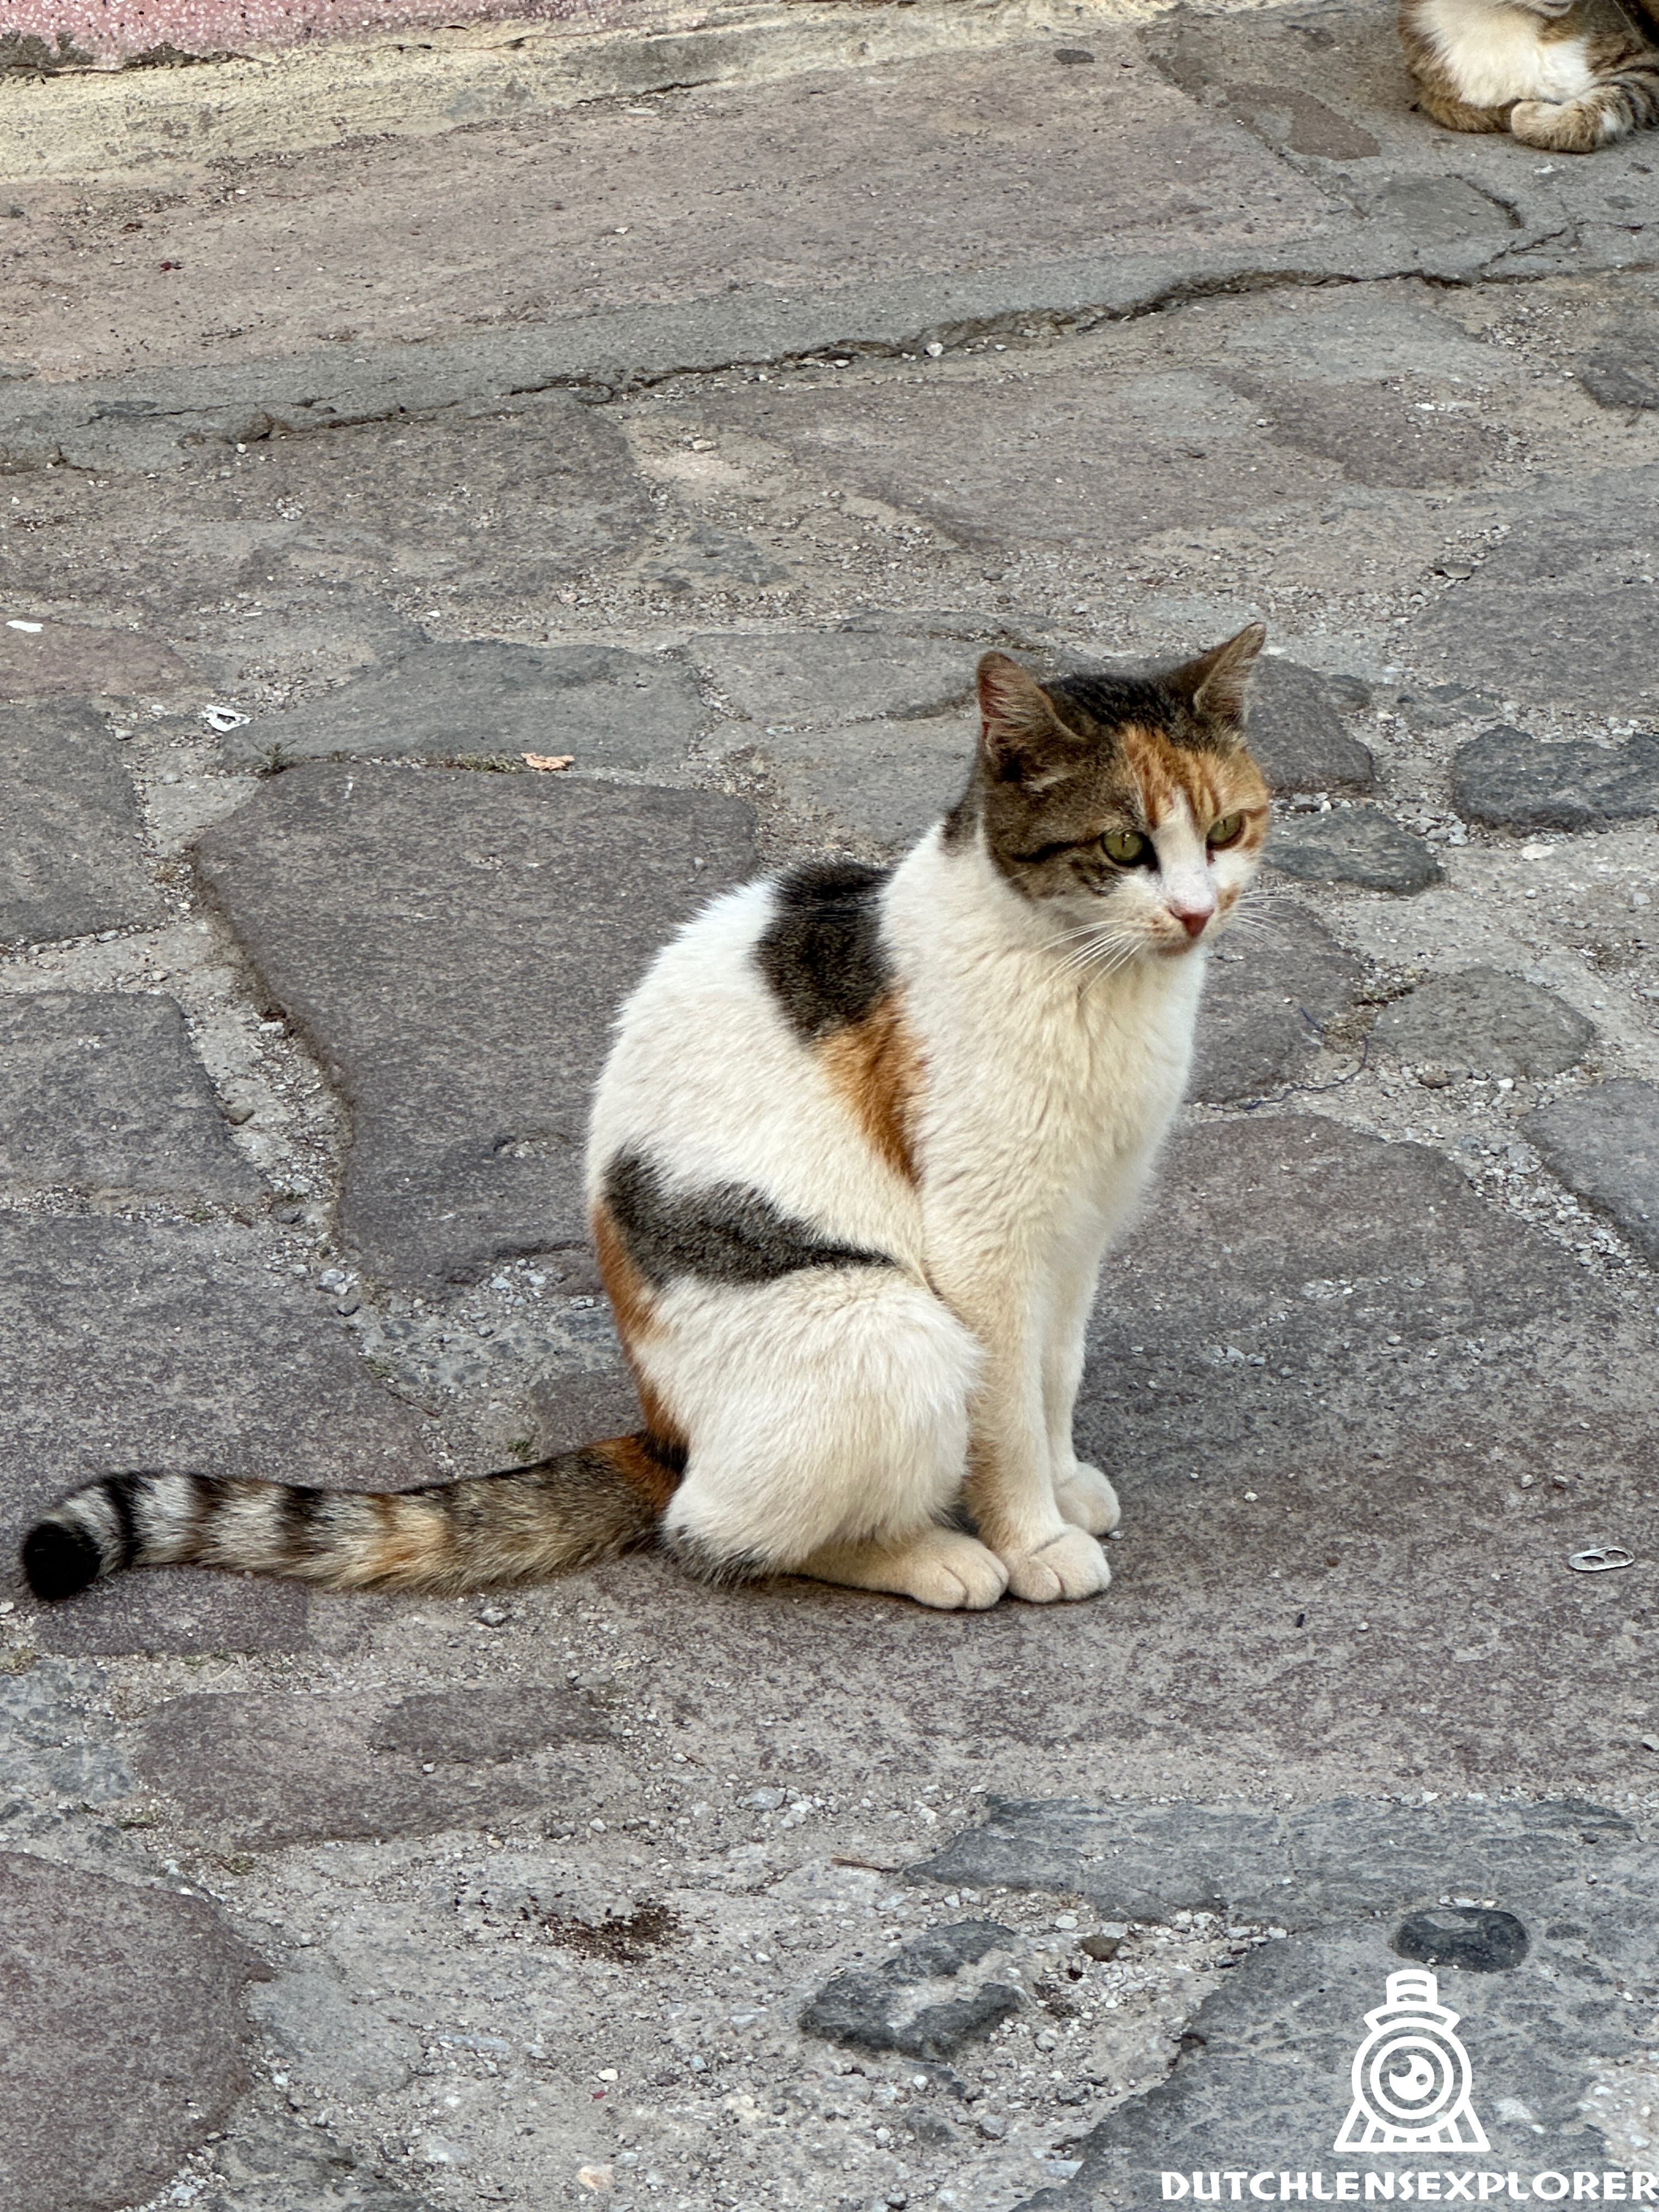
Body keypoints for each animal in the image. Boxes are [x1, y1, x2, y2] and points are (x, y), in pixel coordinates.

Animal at [21, 627, 1271, 1615]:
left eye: (1225, 832)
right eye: (1123, 847)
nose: (1194, 912)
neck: (1097, 985)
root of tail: (663, 1431)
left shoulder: (1079, 1226)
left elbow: (1055, 1375)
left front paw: (1064, 1486)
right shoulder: (987, 1243)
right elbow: (1006, 1411)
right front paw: (1031, 1535)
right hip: (884, 1326)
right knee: (714, 1533)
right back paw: (929, 1556)